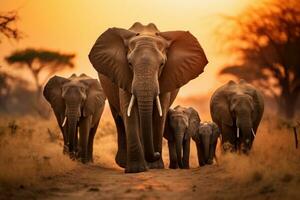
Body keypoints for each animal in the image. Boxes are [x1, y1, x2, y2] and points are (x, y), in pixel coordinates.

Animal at [88, 21, 207, 172]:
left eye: (162, 64)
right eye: (130, 64)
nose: (156, 154)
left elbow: (159, 113)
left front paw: (155, 166)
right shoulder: (123, 74)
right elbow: (129, 111)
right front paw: (136, 169)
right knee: (119, 118)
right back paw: (124, 163)